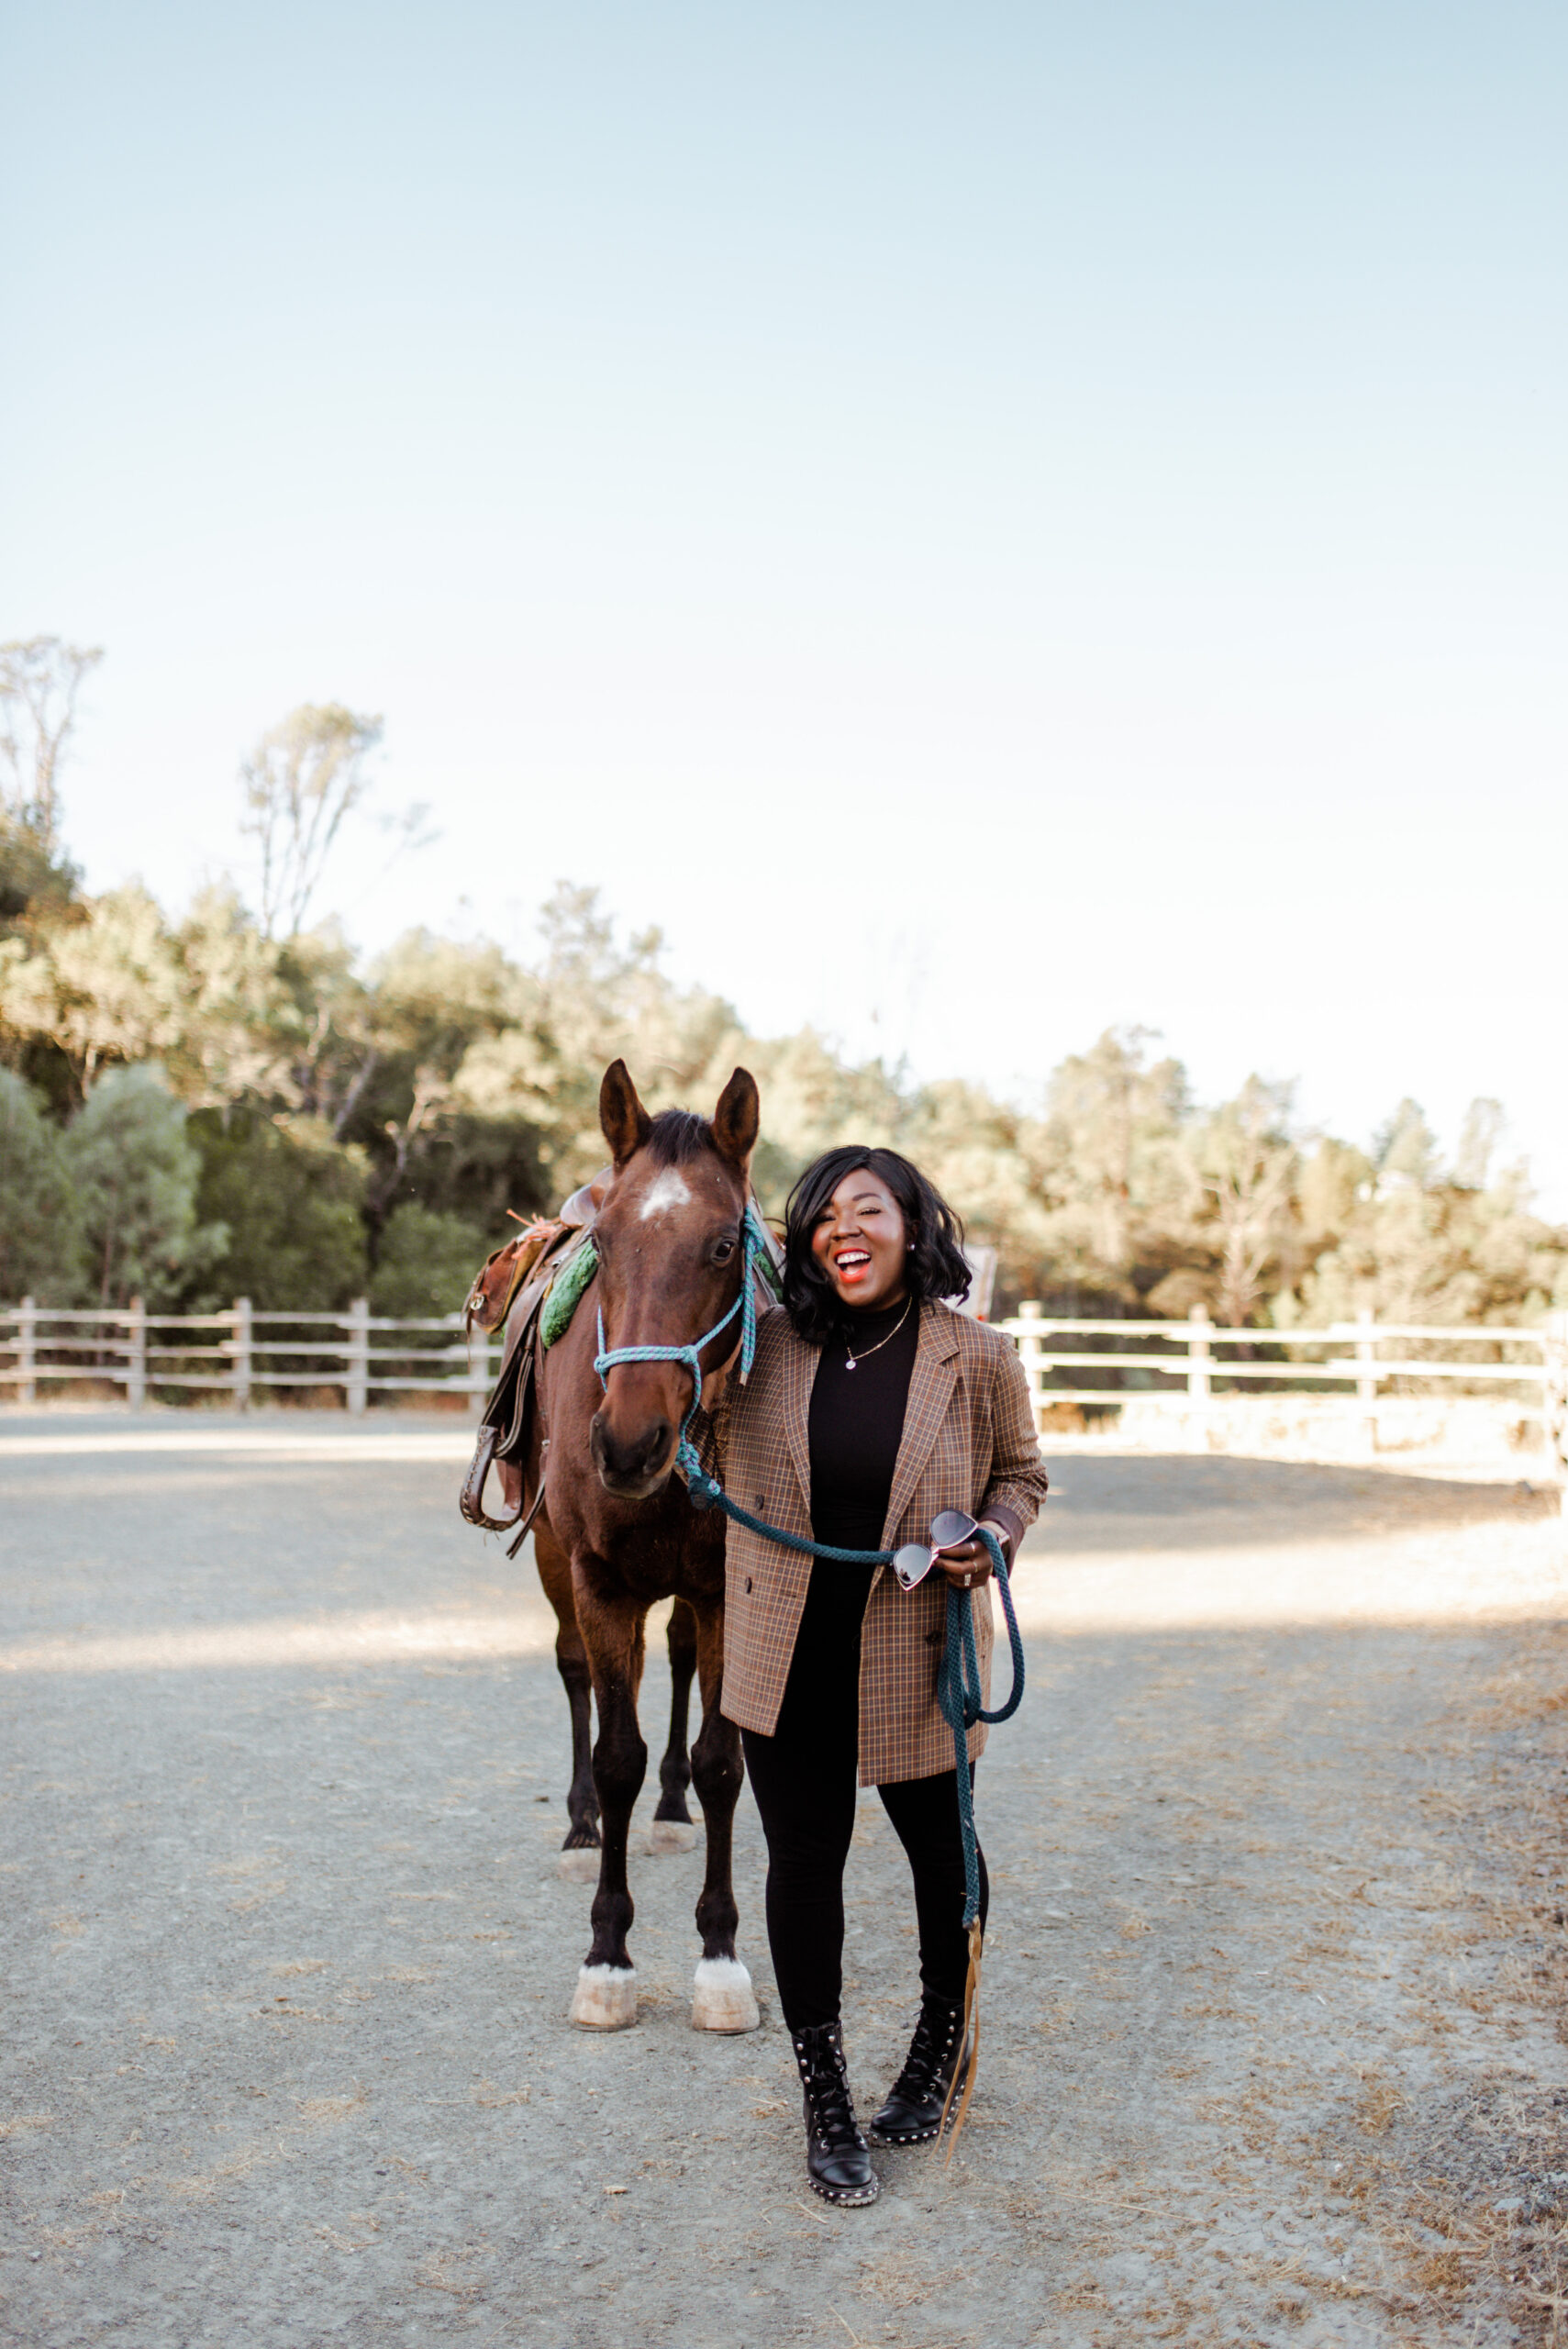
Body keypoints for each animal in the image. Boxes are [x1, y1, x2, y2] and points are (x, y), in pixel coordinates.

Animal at [511, 1066, 760, 2039]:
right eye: (607, 1244)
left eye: (724, 1245)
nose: (627, 1443)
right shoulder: (600, 1583)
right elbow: (615, 1752)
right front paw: (607, 1957)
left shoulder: (727, 1589)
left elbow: (722, 1761)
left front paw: (720, 1957)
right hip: (555, 1564)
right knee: (576, 1674)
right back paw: (584, 1829)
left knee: (682, 1666)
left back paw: (671, 1808)